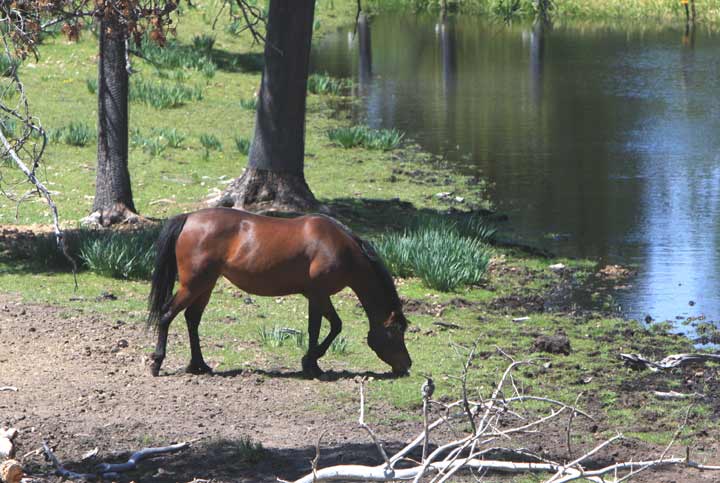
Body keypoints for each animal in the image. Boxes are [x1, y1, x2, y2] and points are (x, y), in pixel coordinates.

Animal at [148, 207, 410, 378]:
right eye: (396, 332)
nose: (407, 364)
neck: (339, 247)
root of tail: (188, 218)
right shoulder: (320, 294)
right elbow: (335, 326)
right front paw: (311, 361)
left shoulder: (314, 296)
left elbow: (315, 329)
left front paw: (311, 365)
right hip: (193, 285)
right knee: (166, 315)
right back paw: (157, 363)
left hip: (205, 285)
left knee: (192, 319)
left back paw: (199, 365)